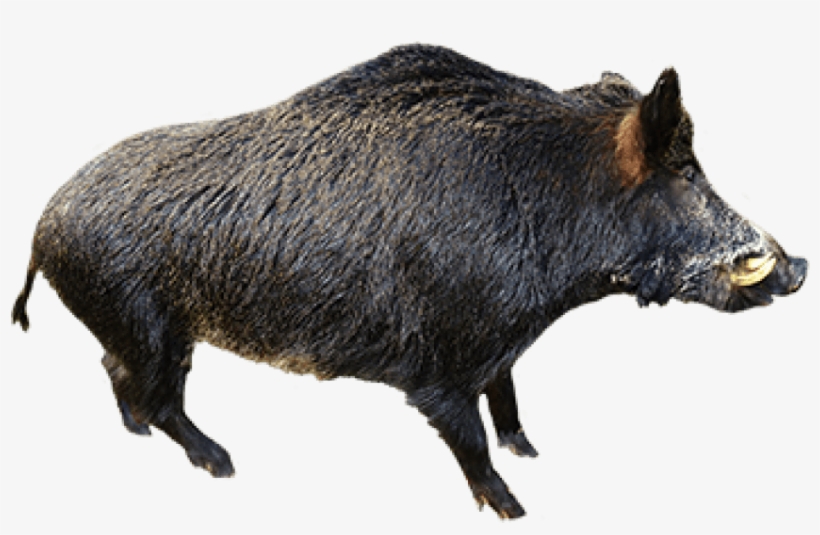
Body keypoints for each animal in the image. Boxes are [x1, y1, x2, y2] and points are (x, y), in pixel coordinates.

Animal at [11, 44, 807, 519]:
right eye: (685, 171)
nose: (797, 266)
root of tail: (43, 224)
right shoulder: (439, 367)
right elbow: (470, 438)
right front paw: (516, 508)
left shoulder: (501, 343)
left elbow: (506, 397)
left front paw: (532, 450)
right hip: (149, 322)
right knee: (158, 392)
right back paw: (223, 465)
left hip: (141, 325)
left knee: (119, 374)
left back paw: (140, 434)